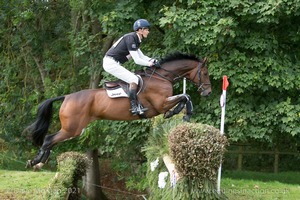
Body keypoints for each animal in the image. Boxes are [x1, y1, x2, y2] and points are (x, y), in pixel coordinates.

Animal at [24, 52, 211, 170]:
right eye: (205, 73)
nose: (208, 92)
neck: (162, 77)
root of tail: (67, 97)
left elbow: (185, 96)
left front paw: (179, 113)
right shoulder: (160, 104)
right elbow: (185, 97)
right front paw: (181, 114)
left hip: (75, 129)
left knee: (51, 140)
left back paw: (40, 161)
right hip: (73, 128)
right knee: (49, 139)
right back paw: (35, 161)